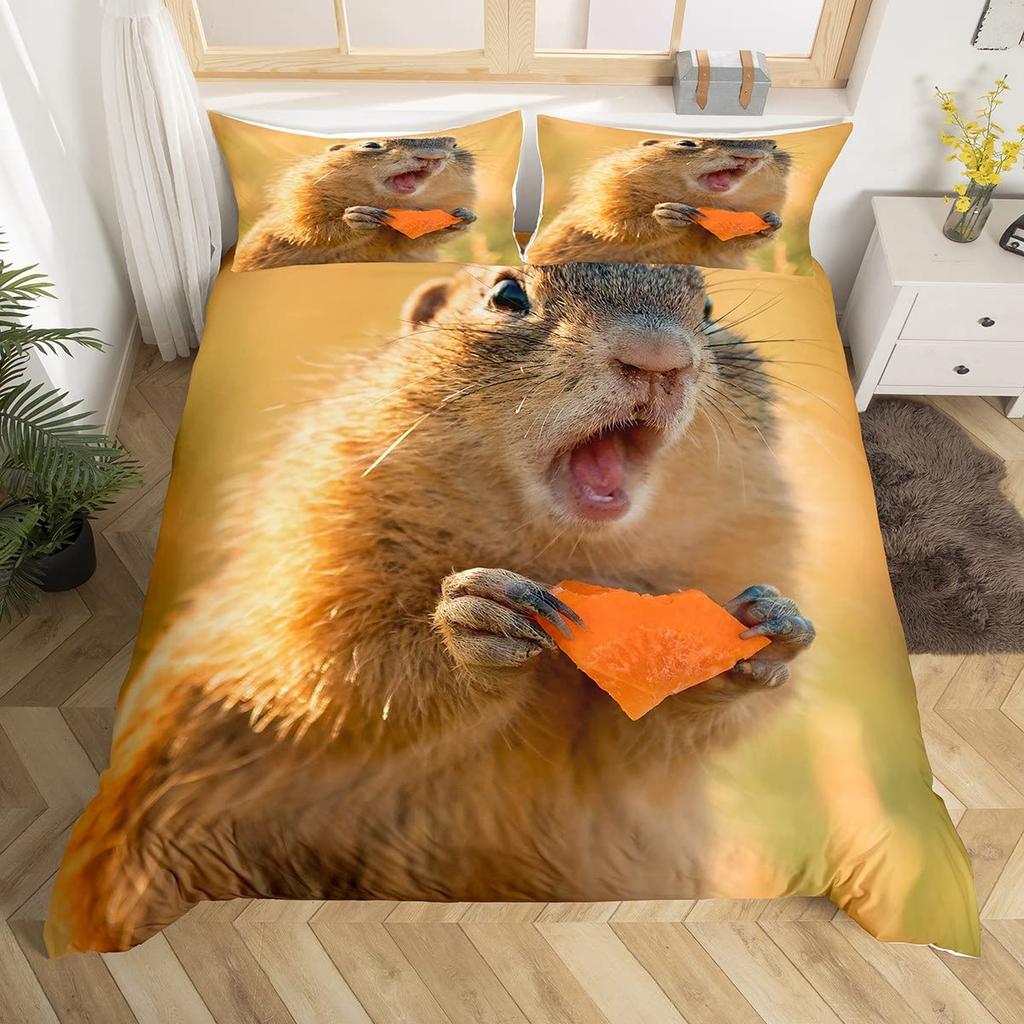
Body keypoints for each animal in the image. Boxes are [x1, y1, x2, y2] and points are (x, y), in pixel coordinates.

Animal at [47, 262, 816, 953]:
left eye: (709, 308)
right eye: (508, 294)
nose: (660, 358)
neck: (570, 558)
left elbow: (642, 747)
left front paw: (767, 632)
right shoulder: (310, 552)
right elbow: (325, 672)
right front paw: (474, 621)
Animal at [234, 135, 478, 270]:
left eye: (454, 145)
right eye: (371, 145)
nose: (433, 155)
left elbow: (411, 243)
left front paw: (463, 217)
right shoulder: (300, 198)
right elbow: (306, 227)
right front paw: (357, 217)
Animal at [527, 137, 791, 269]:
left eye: (774, 145)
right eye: (686, 143)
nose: (750, 154)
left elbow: (722, 246)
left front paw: (771, 221)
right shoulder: (605, 195)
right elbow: (615, 224)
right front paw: (668, 214)